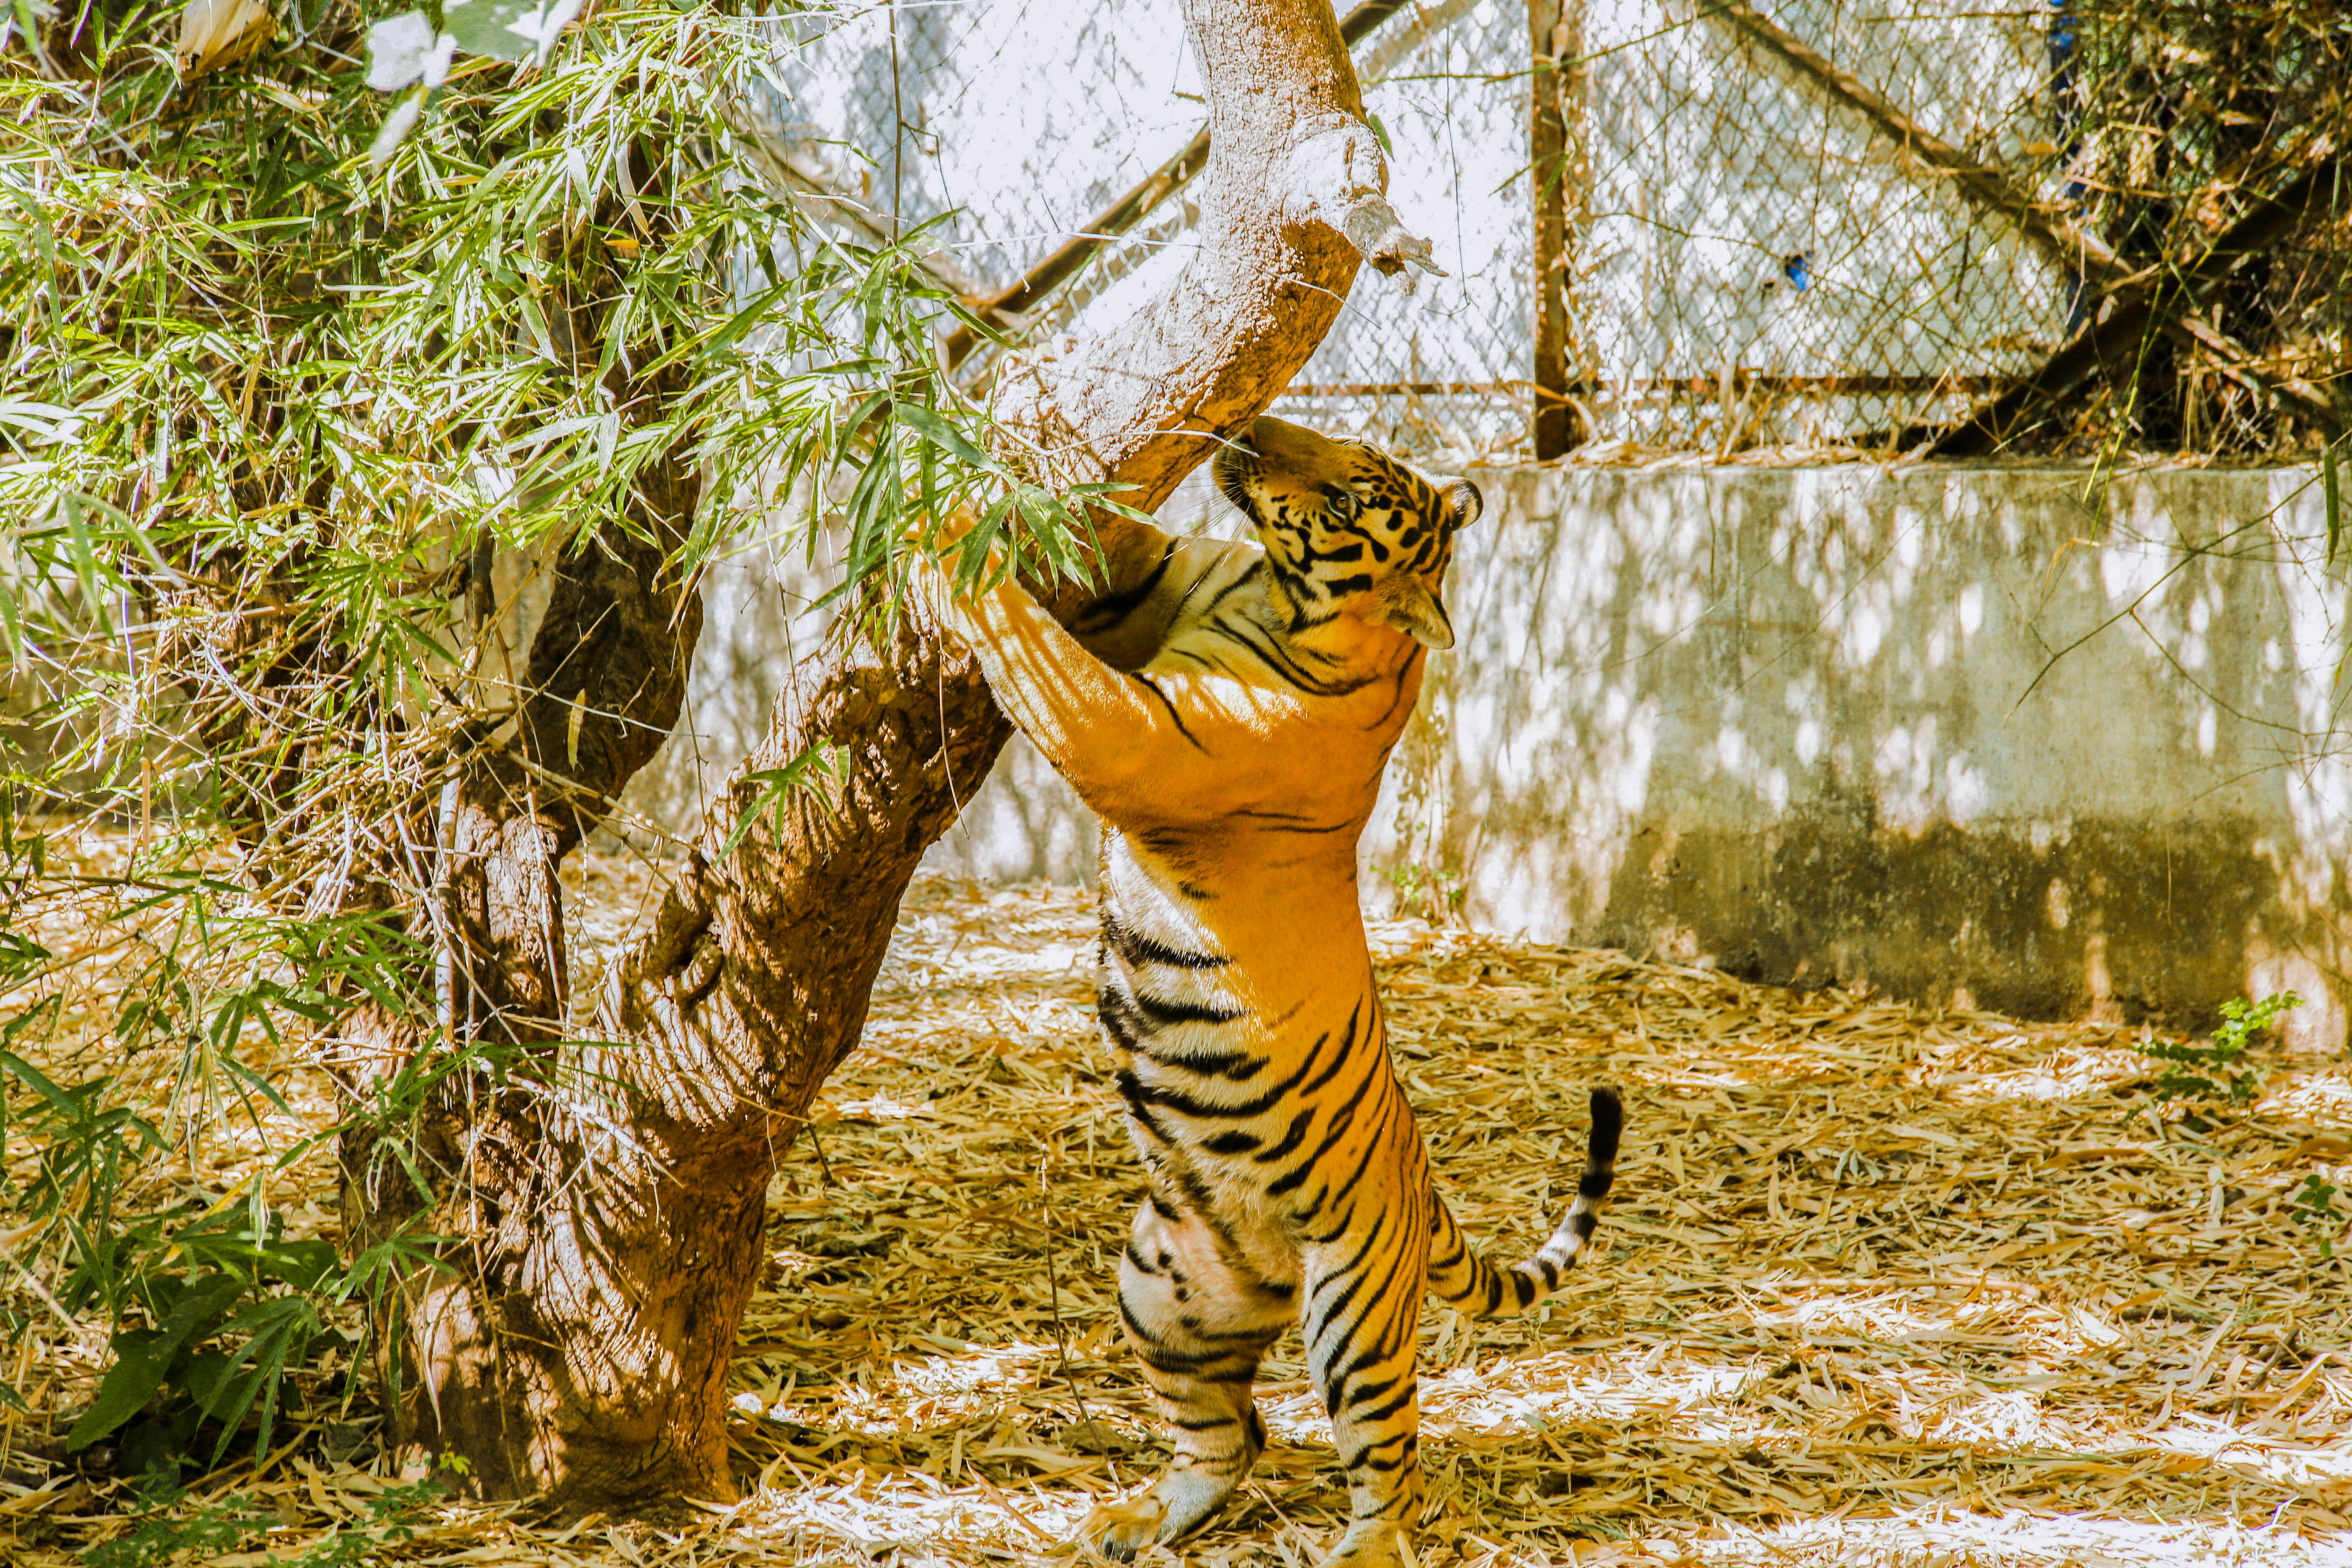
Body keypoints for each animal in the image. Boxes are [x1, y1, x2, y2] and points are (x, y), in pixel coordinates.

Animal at [919, 415, 1623, 1568]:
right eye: (1347, 449)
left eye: (1345, 502)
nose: (1250, 431)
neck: (1272, 594)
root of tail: (1423, 1187)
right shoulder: (1149, 578)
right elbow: (1105, 538)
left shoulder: (1137, 735)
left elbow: (1027, 644)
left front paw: (933, 517)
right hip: (1160, 1284)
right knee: (1227, 1435)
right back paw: (1138, 1518)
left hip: (1349, 1313)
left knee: (1390, 1463)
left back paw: (1361, 1549)